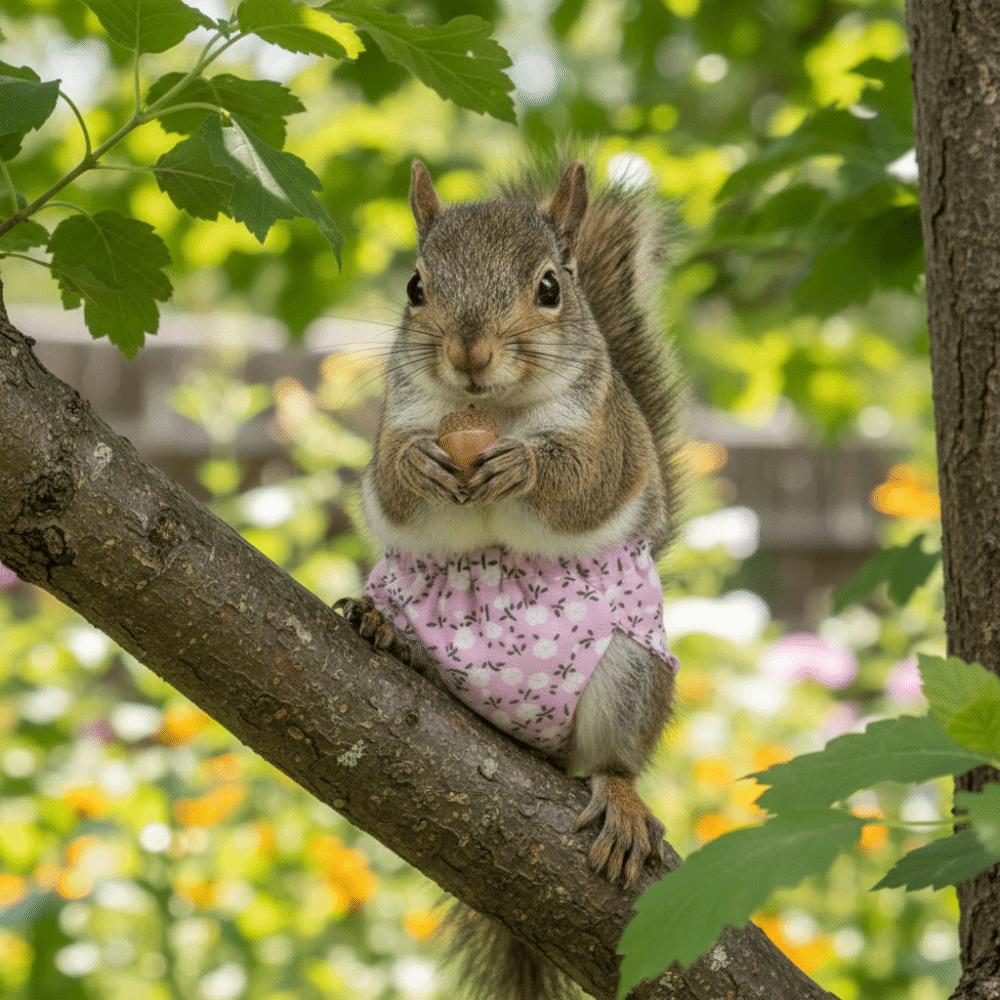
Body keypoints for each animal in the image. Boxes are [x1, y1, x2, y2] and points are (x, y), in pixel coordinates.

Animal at [335, 157, 680, 1000]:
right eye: (416, 285)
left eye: (550, 288)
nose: (469, 352)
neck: (486, 410)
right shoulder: (395, 418)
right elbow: (391, 482)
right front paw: (418, 465)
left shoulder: (608, 436)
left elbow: (583, 481)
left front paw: (524, 464)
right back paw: (387, 632)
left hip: (628, 671)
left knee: (610, 759)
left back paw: (619, 797)